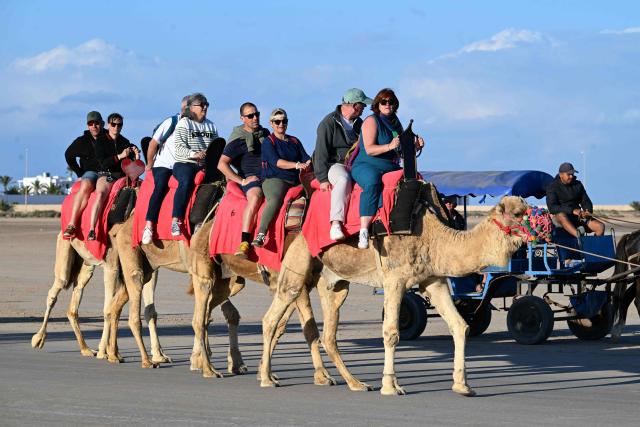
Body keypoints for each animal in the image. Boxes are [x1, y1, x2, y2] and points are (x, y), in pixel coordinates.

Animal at [261, 195, 535, 396]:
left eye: (527, 210)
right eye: (517, 213)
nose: (538, 230)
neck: (435, 238)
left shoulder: (433, 279)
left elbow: (460, 325)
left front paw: (462, 385)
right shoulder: (395, 279)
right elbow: (392, 332)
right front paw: (391, 386)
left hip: (333, 282)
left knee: (328, 334)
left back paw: (356, 383)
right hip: (296, 264)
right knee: (273, 316)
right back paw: (266, 378)